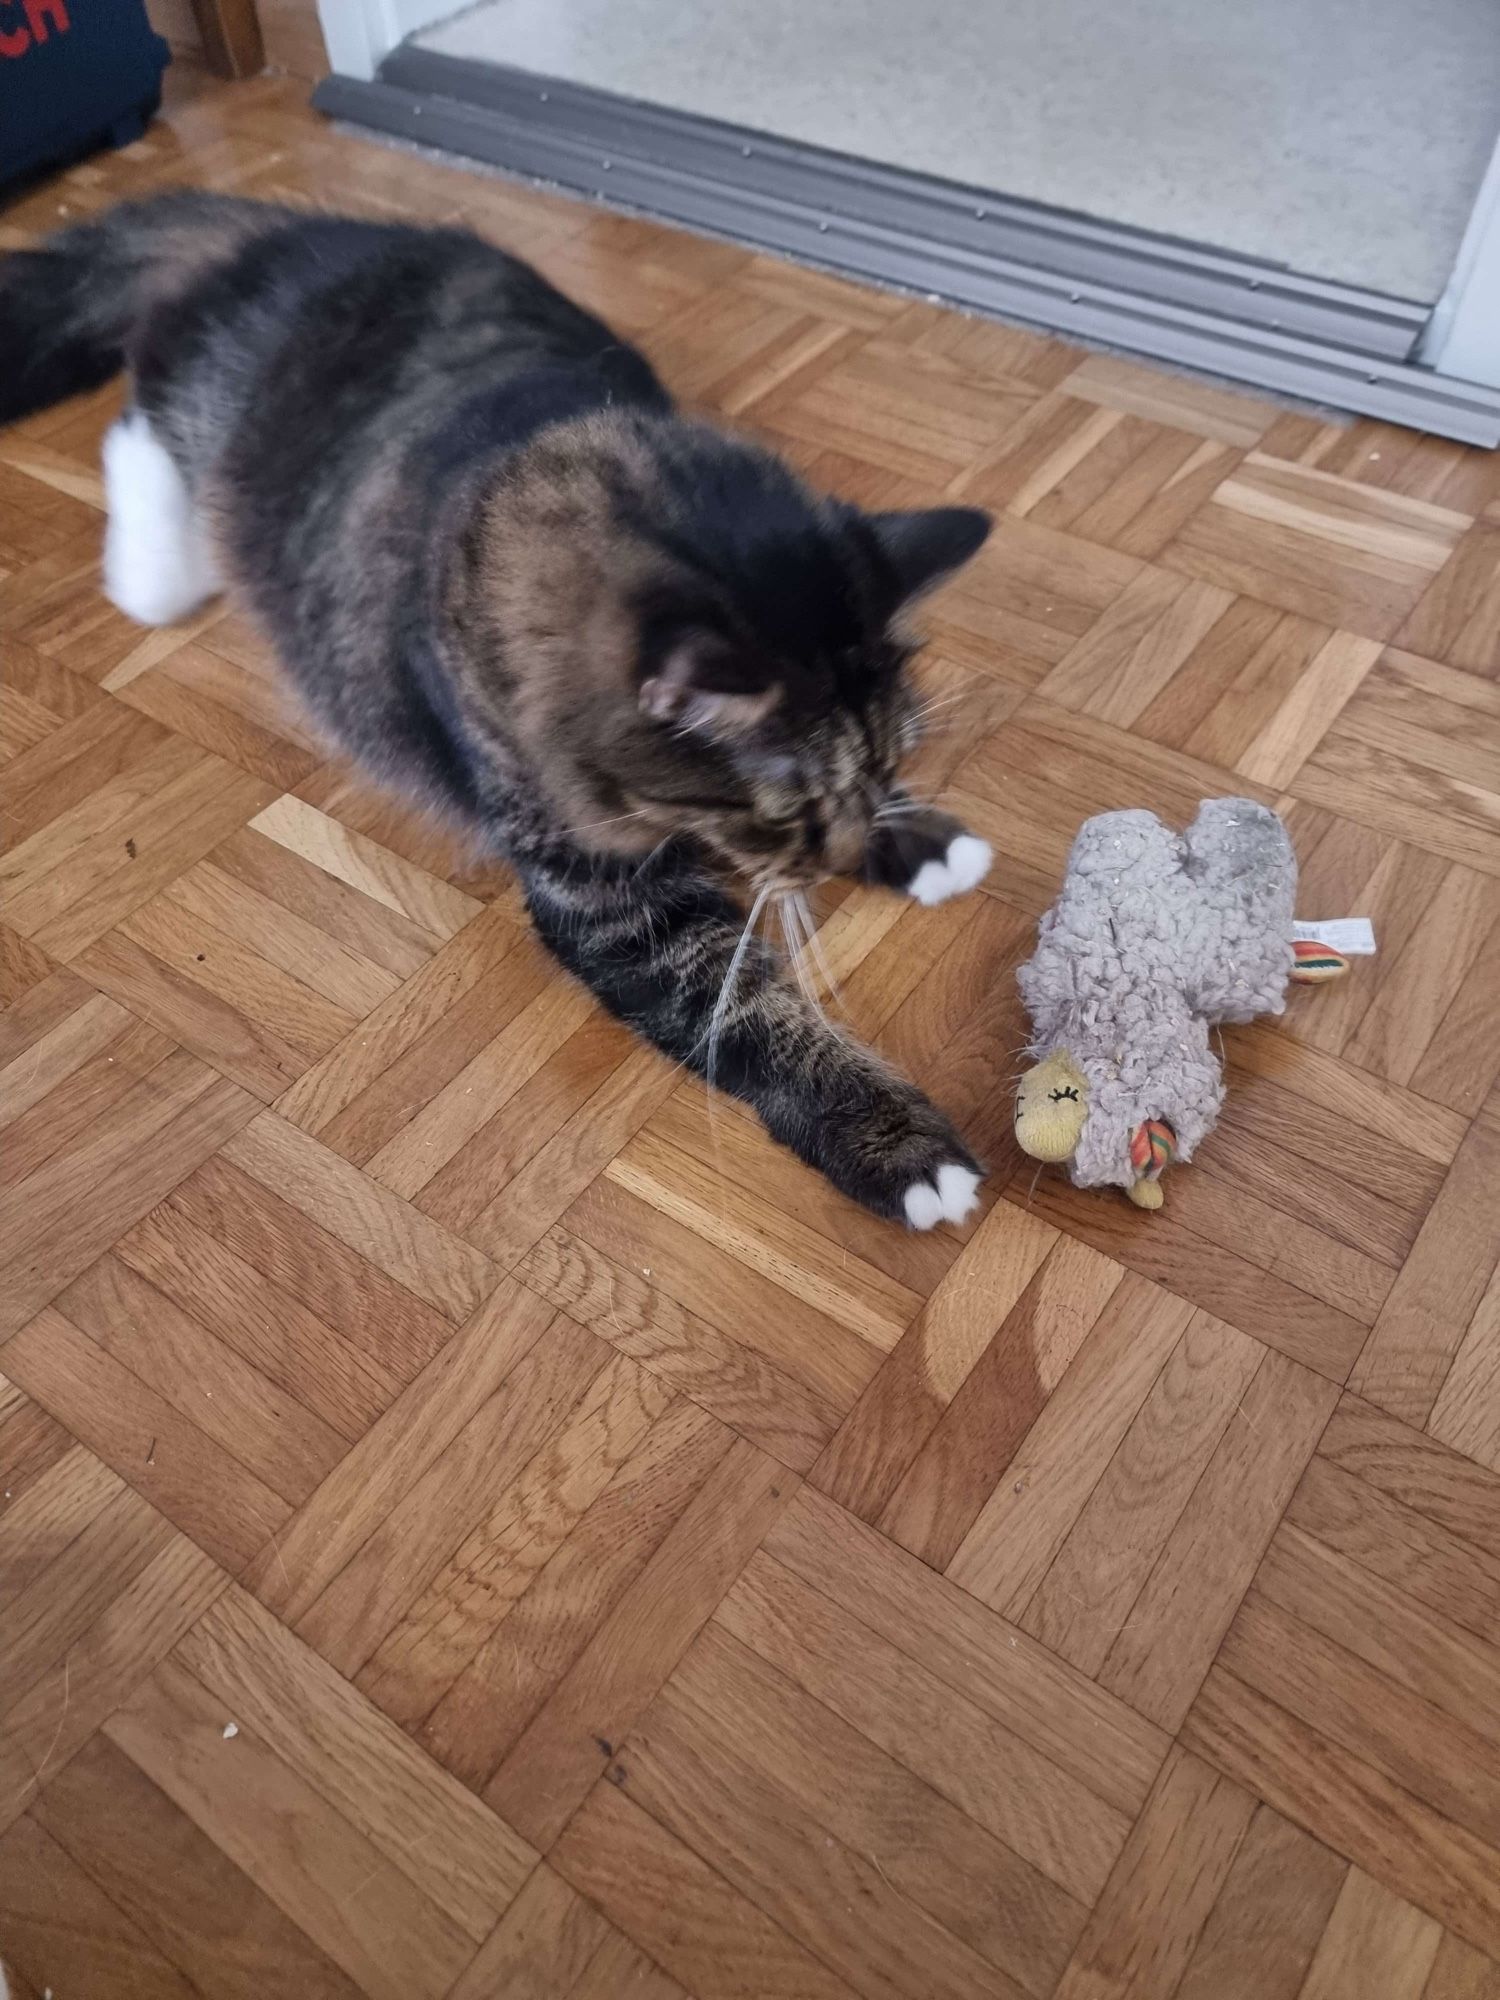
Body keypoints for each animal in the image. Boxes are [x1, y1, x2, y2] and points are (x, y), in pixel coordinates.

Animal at [8, 191, 1012, 1216]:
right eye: (791, 818)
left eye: (889, 763)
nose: (842, 853)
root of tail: (289, 231)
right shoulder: (616, 910)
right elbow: (753, 1016)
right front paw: (898, 1147)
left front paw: (924, 843)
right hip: (207, 414)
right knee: (141, 416)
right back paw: (156, 560)